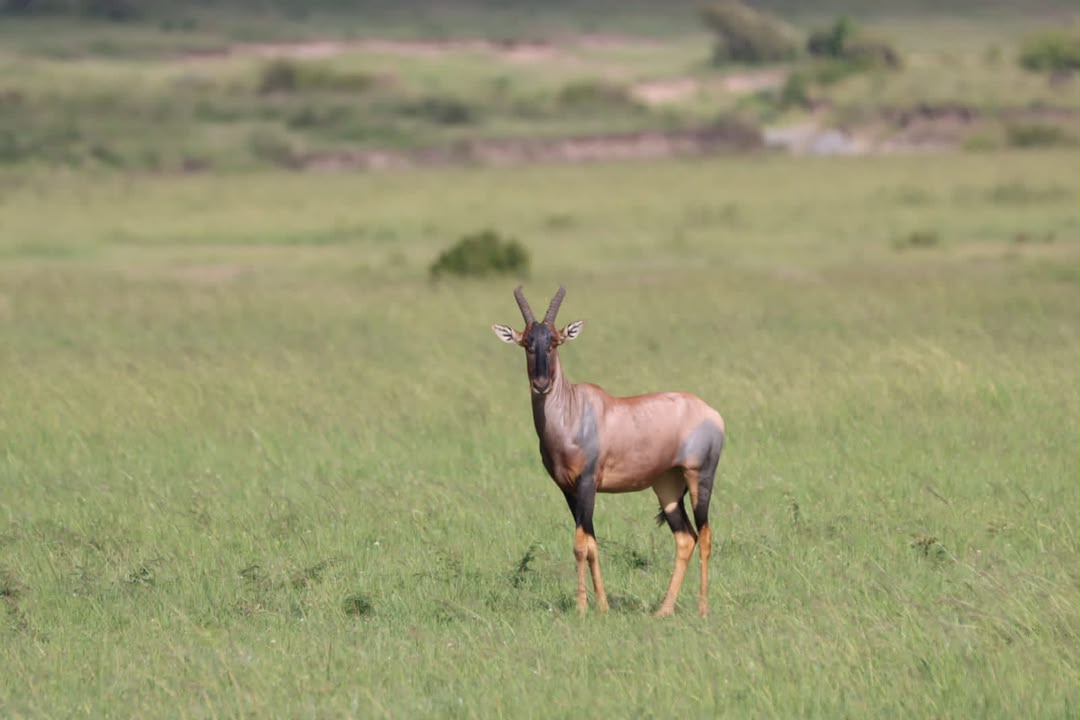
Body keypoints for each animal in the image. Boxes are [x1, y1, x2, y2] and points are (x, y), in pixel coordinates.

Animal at [492, 286, 725, 617]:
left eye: (555, 341)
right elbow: (590, 543)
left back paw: (702, 610)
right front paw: (602, 606)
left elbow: (580, 544)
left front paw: (582, 608)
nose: (540, 385)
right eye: (526, 342)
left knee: (705, 535)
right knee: (685, 538)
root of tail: (711, 413)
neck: (574, 410)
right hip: (667, 487)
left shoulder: (588, 483)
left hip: (700, 477)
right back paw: (663, 610)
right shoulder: (568, 489)